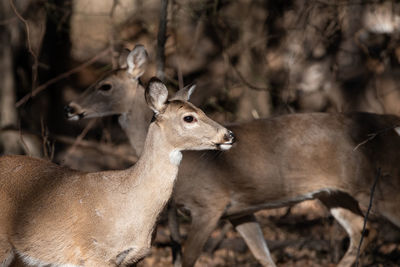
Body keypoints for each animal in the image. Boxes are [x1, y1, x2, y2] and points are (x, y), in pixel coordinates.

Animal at [65, 45, 400, 266]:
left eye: (105, 86)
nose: (70, 108)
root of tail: (391, 124)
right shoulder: (239, 210)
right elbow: (263, 256)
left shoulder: (210, 203)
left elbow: (187, 260)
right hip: (333, 194)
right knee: (362, 230)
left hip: (382, 184)